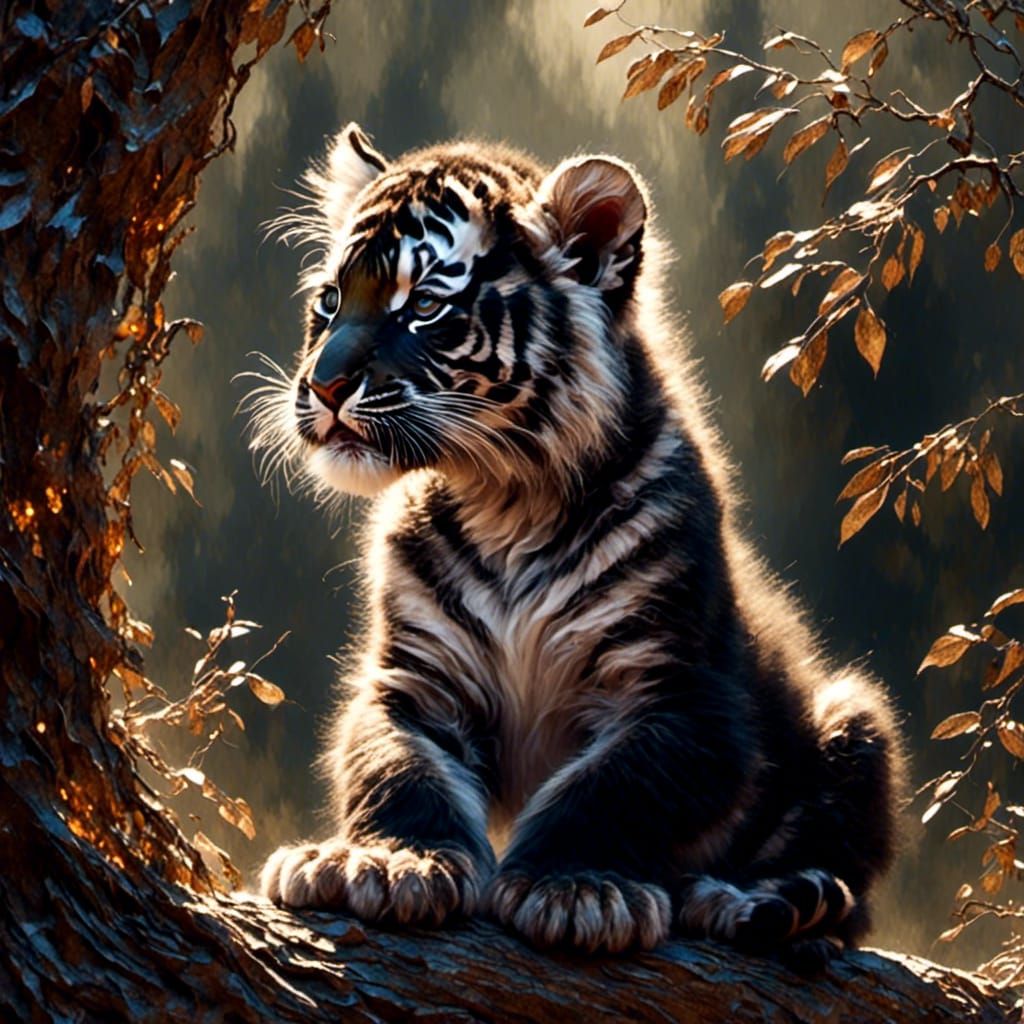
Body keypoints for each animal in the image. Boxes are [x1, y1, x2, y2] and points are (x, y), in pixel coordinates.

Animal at [250, 123, 905, 967]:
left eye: (423, 304)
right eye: (329, 301)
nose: (322, 387)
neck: (506, 497)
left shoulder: (682, 695)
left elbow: (609, 789)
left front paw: (574, 889)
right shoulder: (412, 682)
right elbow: (398, 770)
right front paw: (385, 862)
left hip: (856, 720)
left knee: (843, 893)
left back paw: (765, 904)